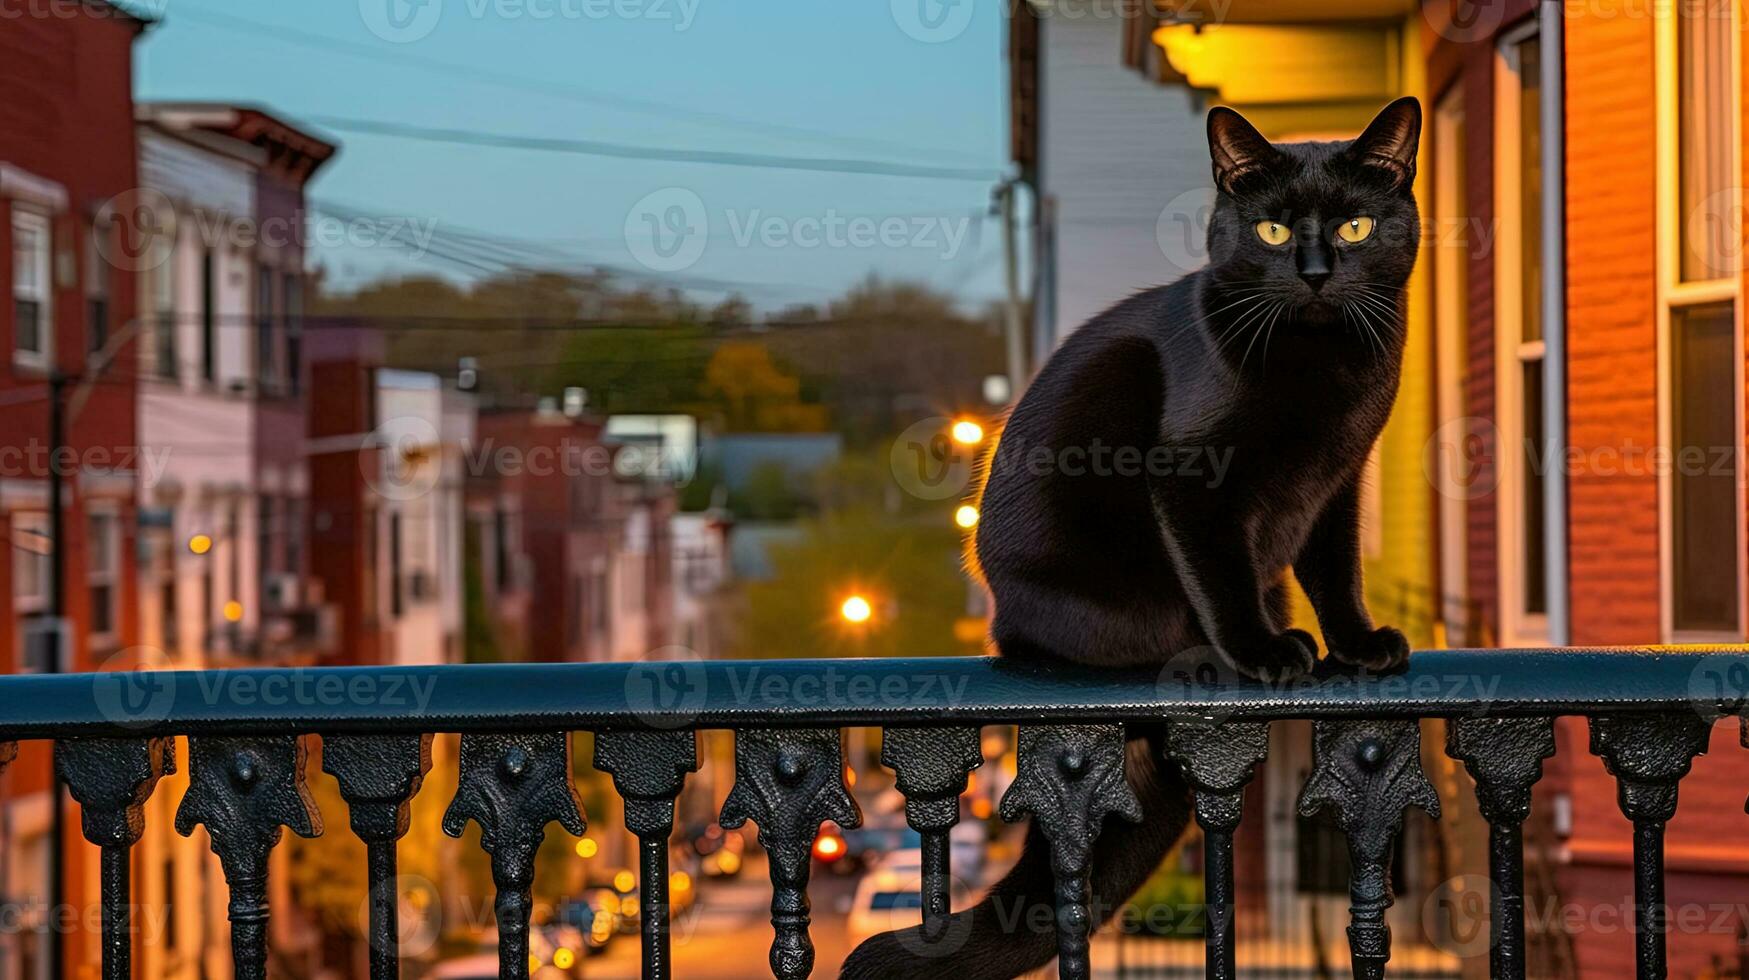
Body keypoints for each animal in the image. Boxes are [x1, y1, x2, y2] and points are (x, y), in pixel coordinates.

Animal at [843, 97, 1420, 980]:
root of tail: (1000, 616)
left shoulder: (1336, 483)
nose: (1316, 272)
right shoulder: (1189, 475)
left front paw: (1355, 645)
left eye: (1354, 226)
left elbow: (1335, 571)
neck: (1323, 363)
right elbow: (1220, 573)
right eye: (1272, 232)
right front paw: (1259, 652)